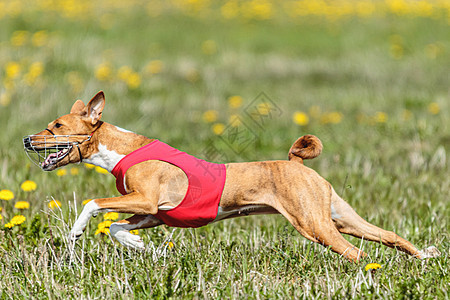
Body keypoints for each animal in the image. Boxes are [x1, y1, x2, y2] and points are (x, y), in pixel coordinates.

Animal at [23, 91, 440, 262]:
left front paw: (76, 231)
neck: (122, 149)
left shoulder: (147, 201)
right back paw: (425, 256)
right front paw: (149, 249)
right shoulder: (153, 214)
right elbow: (117, 228)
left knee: (357, 253)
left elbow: (93, 204)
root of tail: (296, 163)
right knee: (391, 237)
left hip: (313, 224)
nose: (27, 138)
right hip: (339, 216)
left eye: (56, 126)